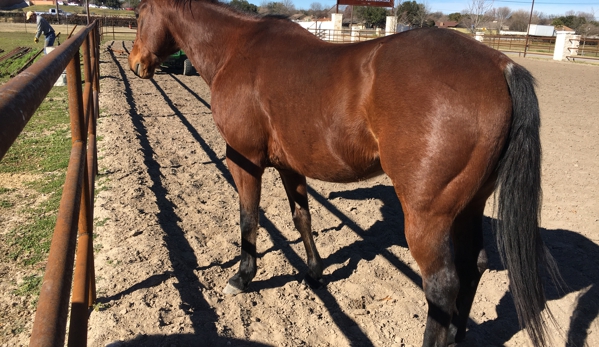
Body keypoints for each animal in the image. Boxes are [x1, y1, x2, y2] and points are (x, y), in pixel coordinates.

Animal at [127, 0, 564, 346]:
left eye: (139, 15)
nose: (135, 64)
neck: (237, 49)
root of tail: (500, 65)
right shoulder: (290, 166)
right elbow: (301, 217)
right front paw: (315, 273)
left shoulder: (243, 160)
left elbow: (248, 219)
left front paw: (242, 278)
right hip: (469, 206)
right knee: (474, 266)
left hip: (428, 216)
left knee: (443, 286)